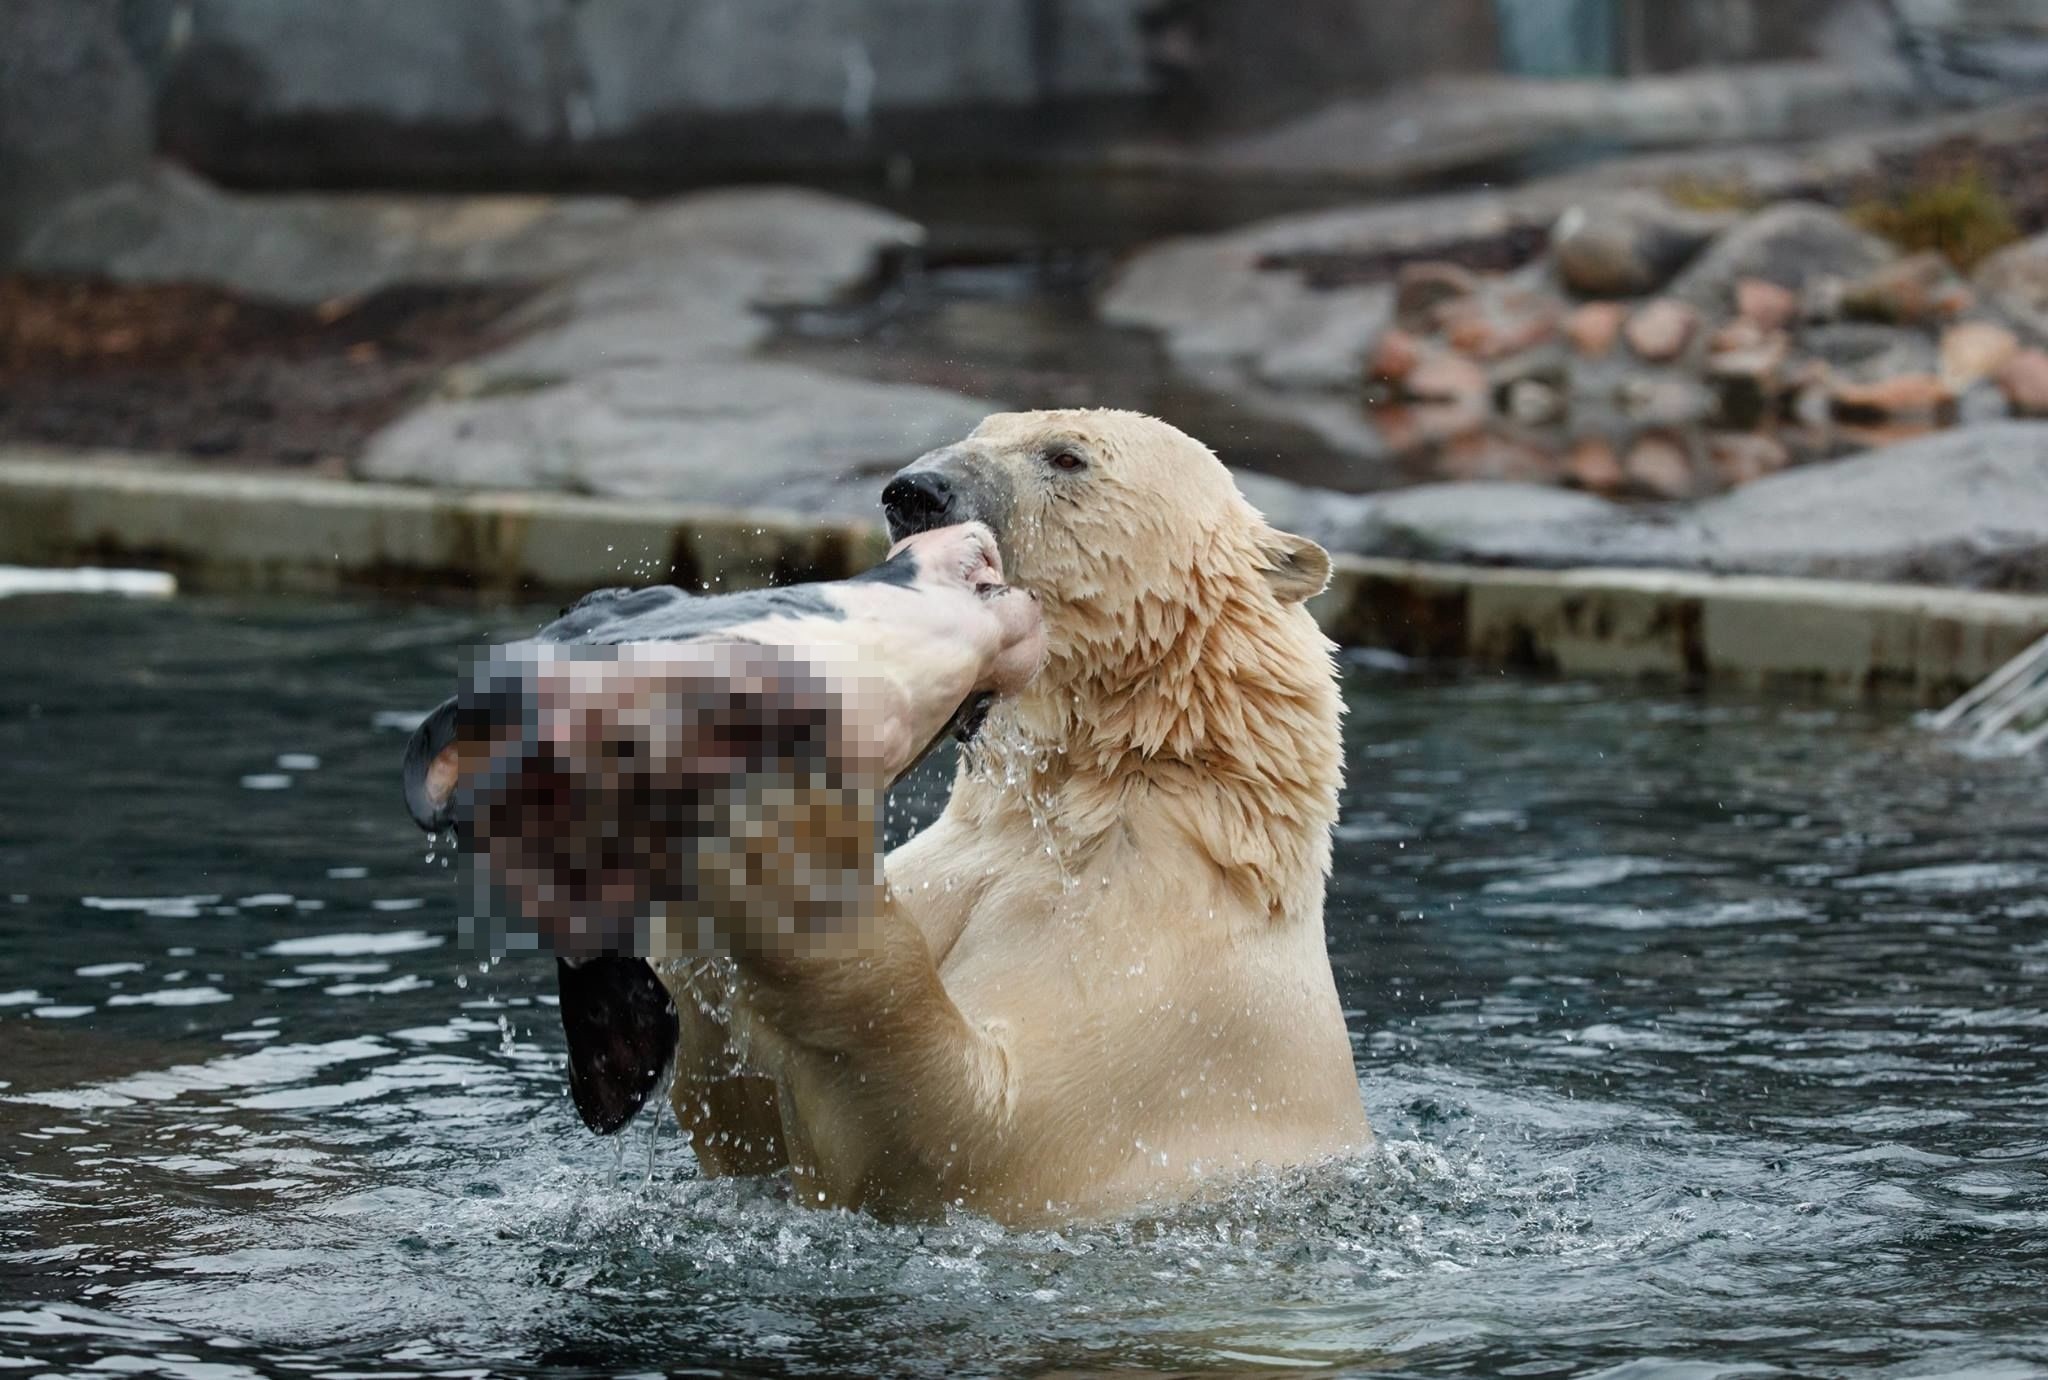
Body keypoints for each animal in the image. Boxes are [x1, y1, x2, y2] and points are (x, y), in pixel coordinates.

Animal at [663, 405, 1368, 1212]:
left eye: (1066, 457)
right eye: (980, 430)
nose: (914, 492)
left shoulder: (1167, 1005)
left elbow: (970, 1136)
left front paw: (788, 845)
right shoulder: (964, 861)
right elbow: (737, 1123)